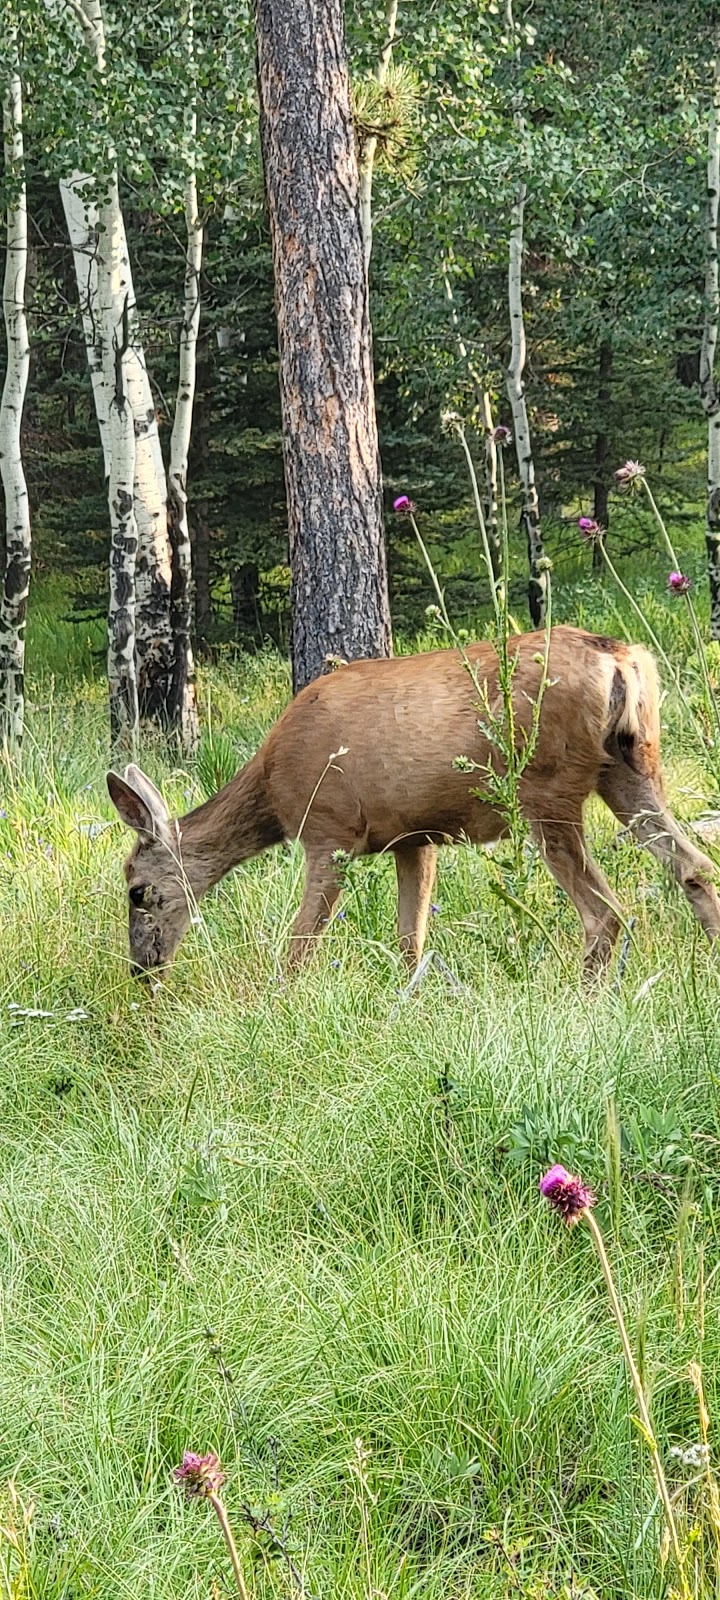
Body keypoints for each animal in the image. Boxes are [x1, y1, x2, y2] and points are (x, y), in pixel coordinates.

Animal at [107, 620, 720, 972]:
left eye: (138, 891)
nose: (142, 967)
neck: (272, 790)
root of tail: (620, 657)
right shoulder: (413, 837)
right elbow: (412, 940)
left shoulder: (329, 828)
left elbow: (302, 941)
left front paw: (275, 1005)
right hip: (630, 765)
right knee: (693, 865)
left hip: (548, 787)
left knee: (606, 914)